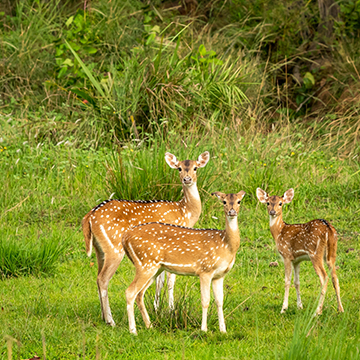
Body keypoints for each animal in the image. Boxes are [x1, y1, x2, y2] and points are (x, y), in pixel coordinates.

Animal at [81, 150, 210, 324]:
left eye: (195, 168)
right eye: (179, 168)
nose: (187, 179)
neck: (184, 212)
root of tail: (89, 216)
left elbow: (159, 280)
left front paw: (157, 308)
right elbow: (170, 280)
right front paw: (171, 309)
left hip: (99, 248)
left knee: (97, 276)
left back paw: (103, 316)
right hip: (114, 247)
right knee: (103, 279)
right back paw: (111, 320)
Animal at [122, 191, 246, 334]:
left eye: (239, 201)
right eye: (224, 202)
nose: (232, 211)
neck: (225, 244)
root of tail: (125, 237)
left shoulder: (219, 275)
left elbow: (219, 301)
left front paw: (223, 330)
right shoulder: (205, 269)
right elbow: (205, 301)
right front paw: (203, 329)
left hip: (154, 267)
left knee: (140, 294)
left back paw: (150, 326)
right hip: (145, 263)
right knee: (130, 292)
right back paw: (133, 331)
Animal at [256, 188, 344, 316]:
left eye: (280, 203)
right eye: (268, 203)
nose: (272, 212)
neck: (279, 232)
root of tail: (328, 229)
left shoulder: (286, 255)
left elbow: (287, 281)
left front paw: (284, 308)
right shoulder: (297, 260)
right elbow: (297, 282)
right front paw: (300, 306)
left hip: (315, 253)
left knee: (324, 277)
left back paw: (317, 311)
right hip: (332, 253)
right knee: (335, 278)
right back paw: (340, 309)